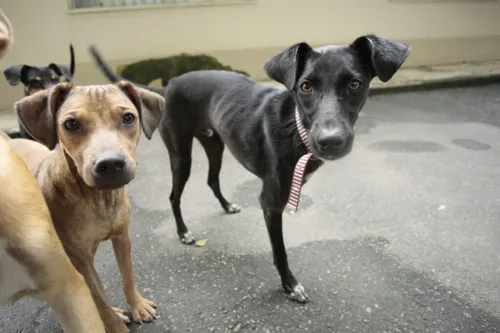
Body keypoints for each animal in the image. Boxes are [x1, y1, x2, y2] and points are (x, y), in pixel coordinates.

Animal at [7, 81, 164, 332]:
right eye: (71, 124)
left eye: (128, 118)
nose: (110, 164)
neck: (96, 199)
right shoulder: (77, 261)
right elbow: (98, 300)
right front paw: (115, 325)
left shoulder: (122, 237)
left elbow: (127, 276)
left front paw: (137, 305)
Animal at [89, 35, 410, 302]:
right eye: (305, 86)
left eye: (355, 84)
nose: (331, 142)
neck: (297, 129)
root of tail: (168, 86)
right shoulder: (270, 202)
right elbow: (280, 251)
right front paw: (290, 286)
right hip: (181, 155)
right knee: (174, 195)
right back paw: (184, 233)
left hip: (215, 145)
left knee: (212, 180)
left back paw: (226, 205)